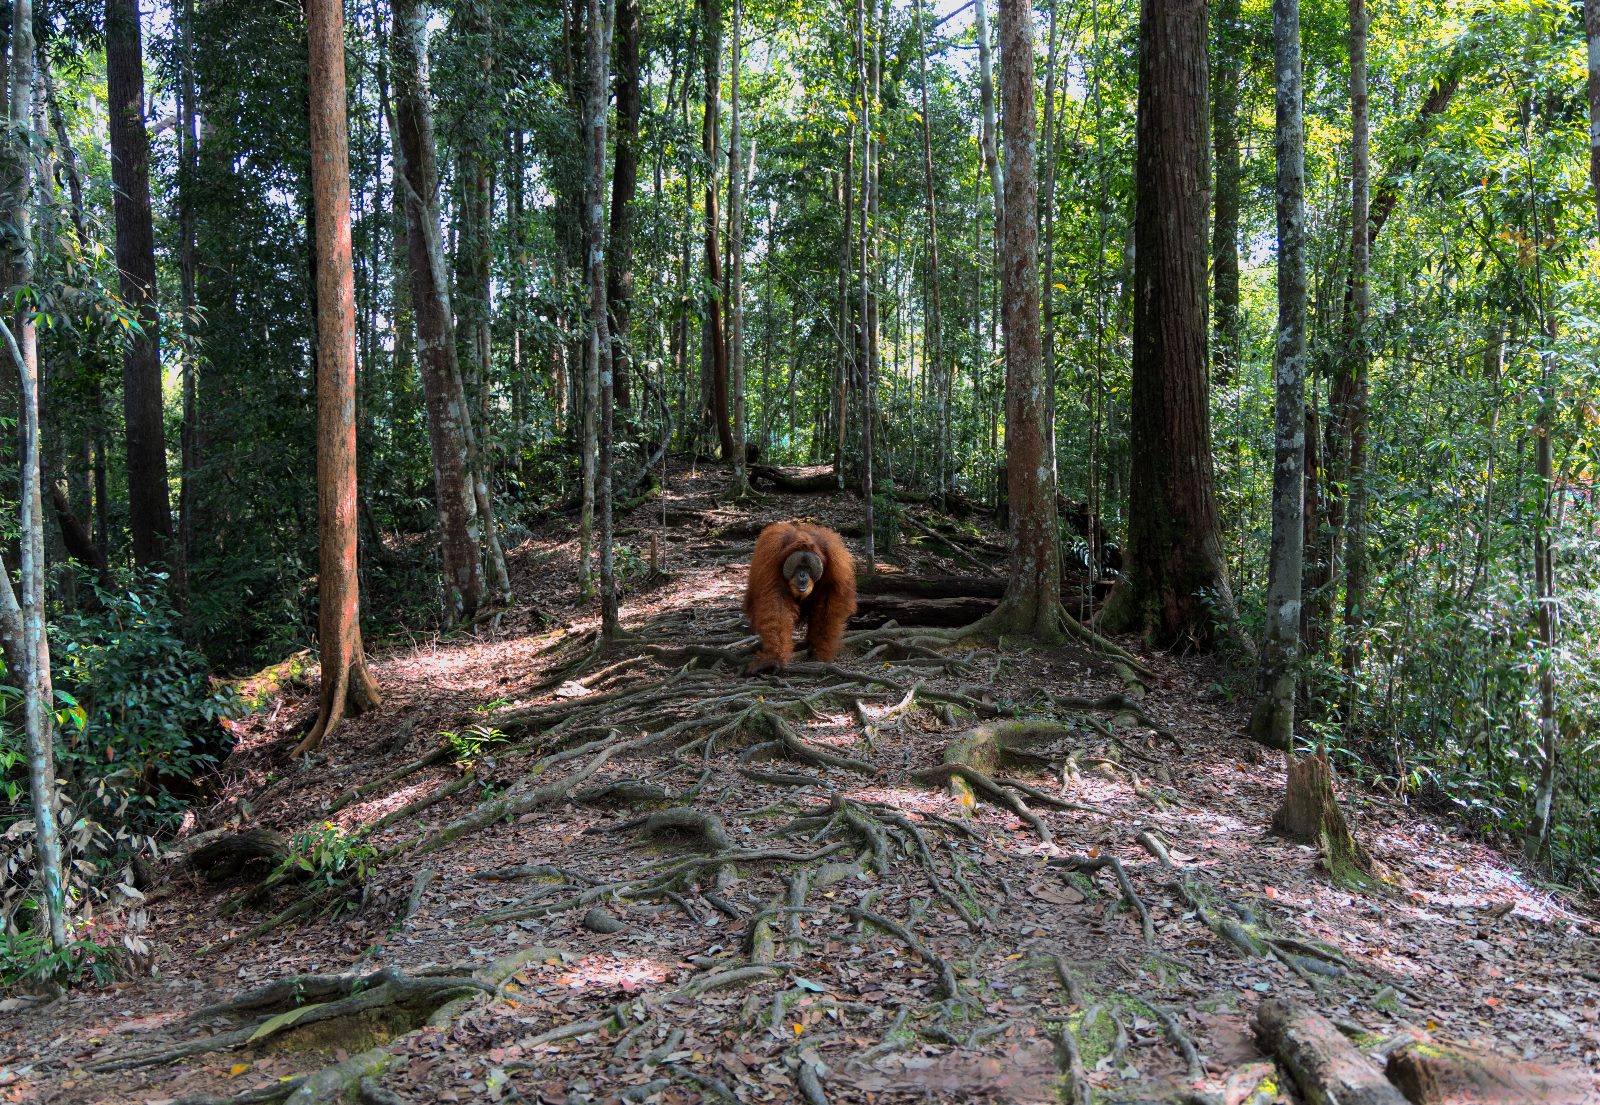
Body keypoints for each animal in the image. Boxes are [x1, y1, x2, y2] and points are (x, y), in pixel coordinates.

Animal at [743, 521, 857, 674]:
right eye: (798, 567)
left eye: (808, 568)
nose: (803, 576)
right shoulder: (771, 554)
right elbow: (776, 600)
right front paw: (772, 660)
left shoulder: (835, 559)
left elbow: (829, 600)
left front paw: (819, 651)